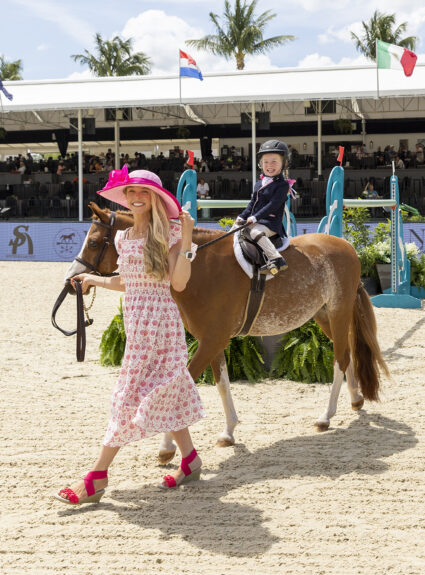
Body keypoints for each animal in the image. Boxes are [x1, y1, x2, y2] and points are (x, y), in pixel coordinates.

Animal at [63, 205, 388, 466]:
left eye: (94, 242)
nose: (72, 280)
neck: (194, 266)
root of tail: (346, 246)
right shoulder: (213, 341)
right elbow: (221, 383)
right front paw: (228, 432)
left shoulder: (211, 341)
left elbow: (180, 388)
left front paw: (167, 447)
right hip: (323, 316)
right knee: (345, 353)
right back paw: (356, 399)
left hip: (337, 312)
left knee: (340, 358)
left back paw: (326, 416)